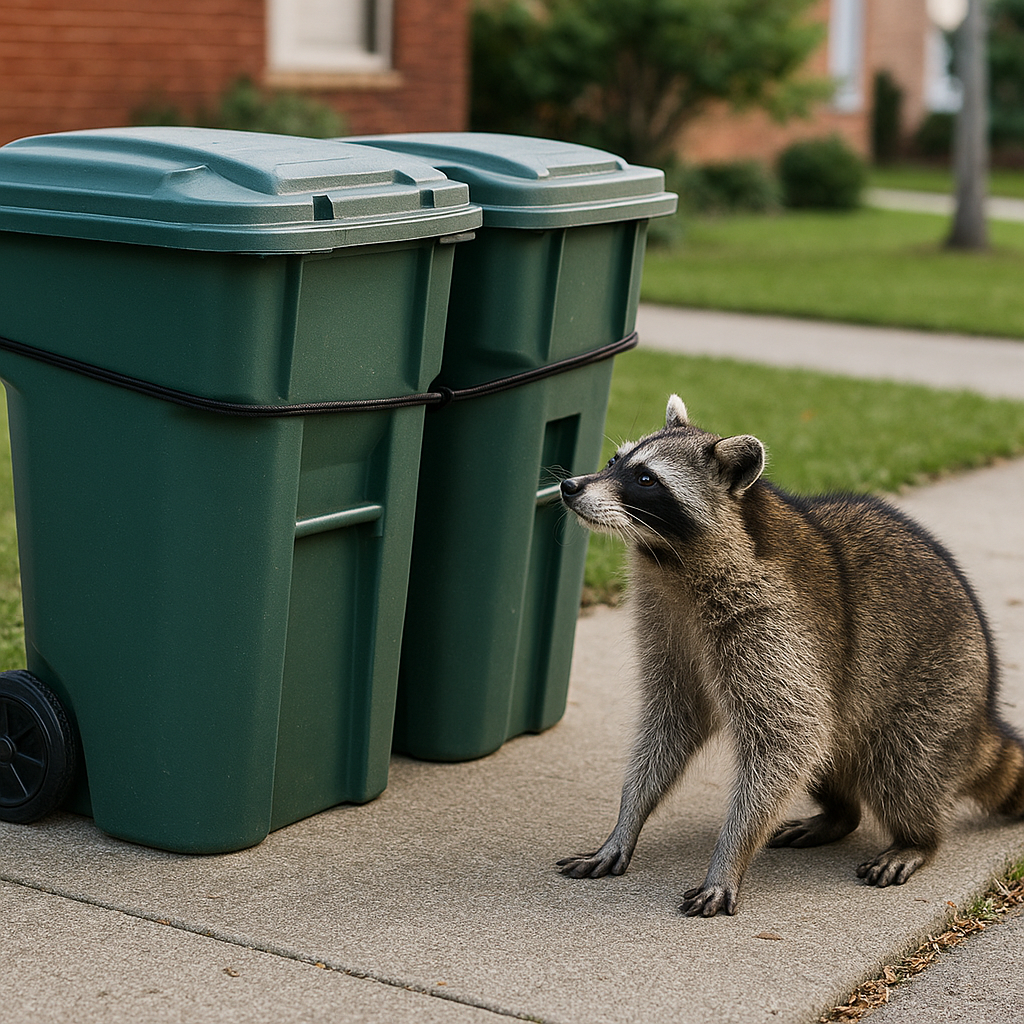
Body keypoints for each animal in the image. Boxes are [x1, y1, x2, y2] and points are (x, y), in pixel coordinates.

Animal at [557, 395, 1024, 917]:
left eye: (645, 479)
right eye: (614, 461)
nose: (569, 486)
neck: (668, 558)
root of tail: (983, 714)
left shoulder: (774, 623)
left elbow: (787, 736)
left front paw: (730, 856)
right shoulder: (667, 622)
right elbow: (676, 718)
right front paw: (627, 820)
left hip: (940, 688)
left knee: (901, 768)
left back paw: (917, 838)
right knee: (830, 749)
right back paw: (840, 813)